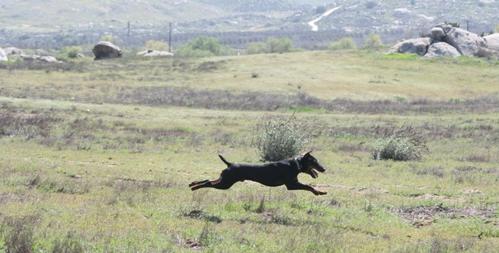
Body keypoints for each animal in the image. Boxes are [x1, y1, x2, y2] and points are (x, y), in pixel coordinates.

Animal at [188, 152, 328, 196]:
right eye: (314, 161)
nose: (324, 169)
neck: (295, 164)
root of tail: (230, 164)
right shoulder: (292, 185)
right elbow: (309, 187)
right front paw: (319, 192)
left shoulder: (294, 184)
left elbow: (309, 186)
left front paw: (320, 191)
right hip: (225, 183)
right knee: (208, 183)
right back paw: (195, 187)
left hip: (224, 180)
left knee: (208, 180)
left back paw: (192, 184)